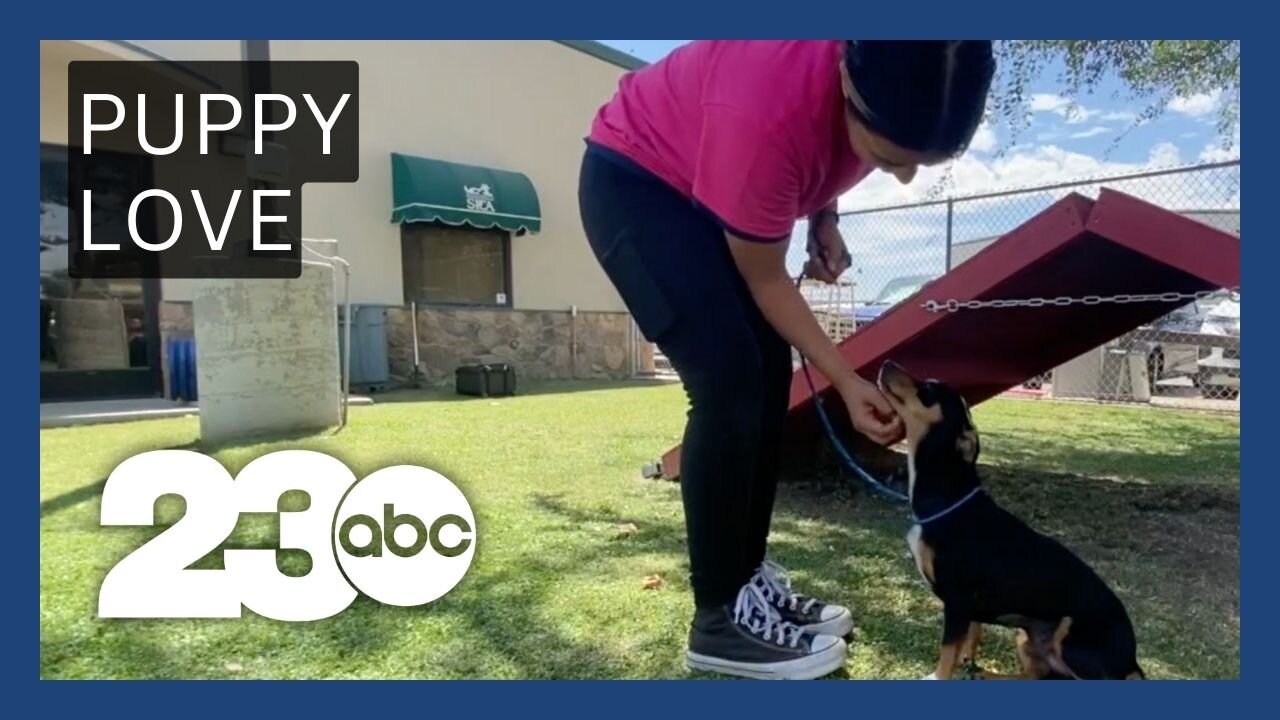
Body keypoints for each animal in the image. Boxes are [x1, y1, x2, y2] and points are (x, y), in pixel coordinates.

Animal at [875, 358, 1146, 676]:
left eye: (927, 390)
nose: (887, 363)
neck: (949, 497)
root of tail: (1132, 661)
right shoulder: (970, 609)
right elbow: (970, 638)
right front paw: (968, 665)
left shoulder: (957, 600)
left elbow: (947, 651)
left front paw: (937, 676)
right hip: (1025, 637)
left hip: (1070, 639)